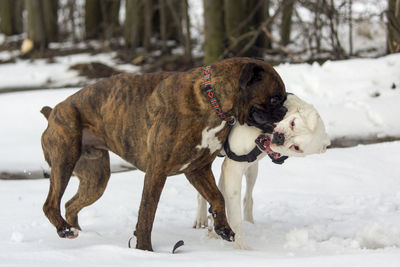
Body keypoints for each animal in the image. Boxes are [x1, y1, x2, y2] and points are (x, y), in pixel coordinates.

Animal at [40, 57, 286, 251]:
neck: (211, 99)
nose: (284, 110)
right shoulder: (157, 172)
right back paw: (64, 230)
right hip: (64, 158)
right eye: (275, 98)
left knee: (70, 204)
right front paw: (145, 250)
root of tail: (54, 110)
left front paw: (223, 228)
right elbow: (147, 214)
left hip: (96, 179)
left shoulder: (198, 170)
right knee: (51, 203)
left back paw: (78, 233)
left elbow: (217, 197)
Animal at [195, 94, 332, 249]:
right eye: (293, 123)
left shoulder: (234, 168)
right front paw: (240, 247)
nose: (280, 137)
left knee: (246, 196)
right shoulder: (233, 169)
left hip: (251, 170)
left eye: (296, 147)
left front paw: (218, 231)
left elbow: (222, 197)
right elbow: (234, 214)